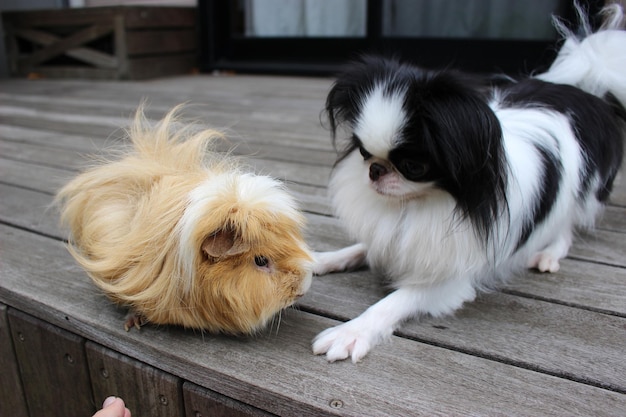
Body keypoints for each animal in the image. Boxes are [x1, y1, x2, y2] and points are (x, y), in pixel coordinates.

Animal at [312, 4, 624, 360]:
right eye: (364, 152)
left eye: (413, 166)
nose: (375, 170)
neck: (417, 204)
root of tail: (582, 91)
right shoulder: (397, 238)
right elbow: (360, 247)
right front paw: (320, 259)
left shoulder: (447, 280)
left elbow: (393, 302)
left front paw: (351, 332)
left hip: (578, 196)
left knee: (565, 230)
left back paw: (548, 254)